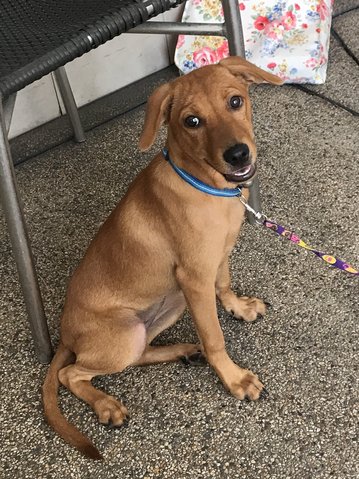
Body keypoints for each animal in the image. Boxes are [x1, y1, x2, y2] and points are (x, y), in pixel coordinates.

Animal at [42, 57, 284, 462]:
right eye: (192, 121)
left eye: (235, 101)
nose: (238, 154)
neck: (208, 187)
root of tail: (64, 334)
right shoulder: (194, 279)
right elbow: (215, 336)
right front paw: (234, 378)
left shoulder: (217, 258)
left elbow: (224, 284)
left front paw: (238, 307)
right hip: (128, 330)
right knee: (70, 374)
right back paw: (106, 404)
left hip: (169, 306)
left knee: (137, 355)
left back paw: (183, 351)